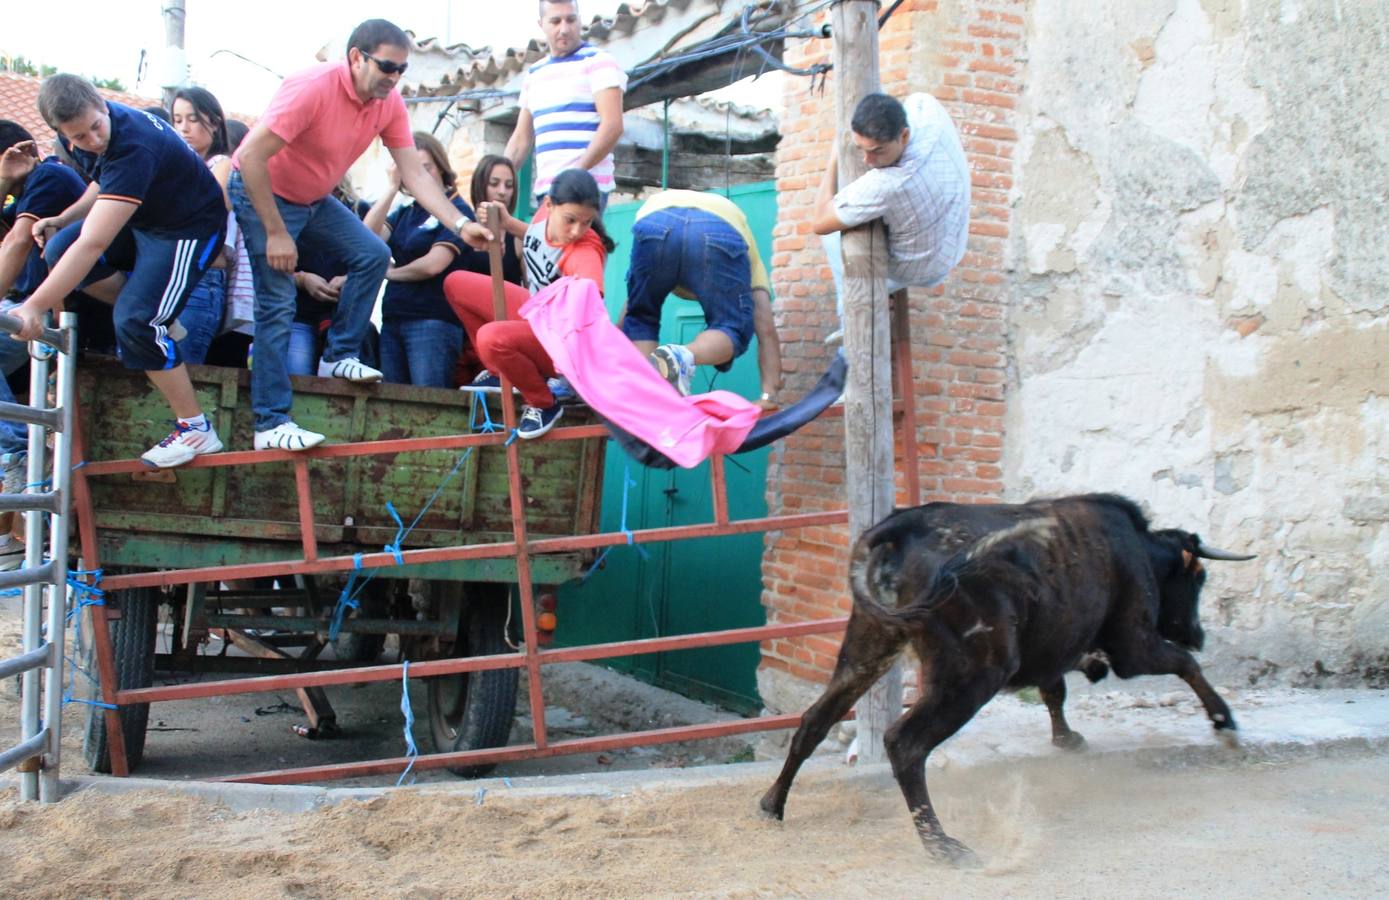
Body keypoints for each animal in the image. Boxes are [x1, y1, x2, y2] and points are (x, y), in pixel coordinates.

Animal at [761, 491, 1261, 866]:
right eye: (1198, 577)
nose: (1198, 633)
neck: (1135, 547)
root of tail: (898, 529)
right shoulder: (1133, 646)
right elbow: (1183, 665)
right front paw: (1225, 724)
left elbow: (1055, 688)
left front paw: (1067, 738)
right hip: (972, 673)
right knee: (905, 743)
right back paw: (944, 847)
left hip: (869, 645)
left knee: (815, 720)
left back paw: (773, 804)